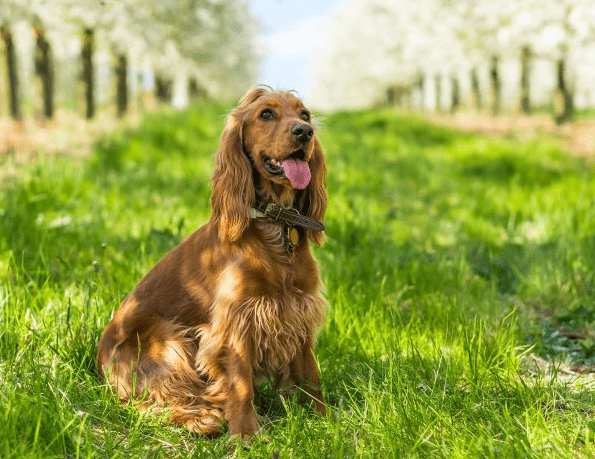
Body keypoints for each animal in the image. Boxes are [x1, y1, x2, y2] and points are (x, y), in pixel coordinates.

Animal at [98, 87, 330, 438]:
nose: (305, 132)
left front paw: (326, 421)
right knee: (148, 403)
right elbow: (241, 384)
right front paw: (246, 435)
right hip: (167, 339)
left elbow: (310, 375)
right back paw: (202, 420)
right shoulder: (237, 320)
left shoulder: (299, 310)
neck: (275, 226)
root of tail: (98, 362)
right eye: (266, 114)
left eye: (304, 114)